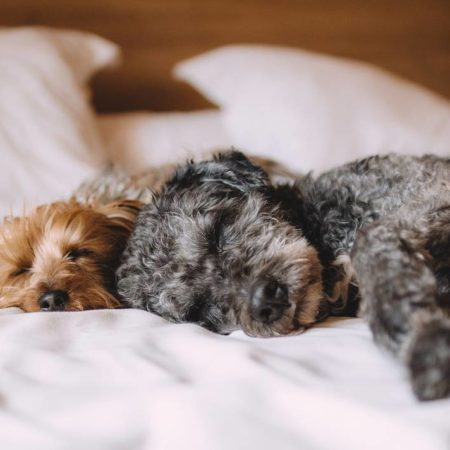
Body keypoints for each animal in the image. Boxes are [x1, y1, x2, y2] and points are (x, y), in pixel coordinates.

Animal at [117, 151, 450, 400]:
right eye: (199, 309)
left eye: (218, 231)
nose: (264, 301)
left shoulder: (434, 193)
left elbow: (370, 240)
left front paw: (418, 336)